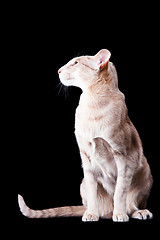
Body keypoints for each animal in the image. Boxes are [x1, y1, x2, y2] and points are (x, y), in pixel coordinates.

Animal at [18, 48, 153, 221]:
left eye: (75, 63)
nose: (58, 70)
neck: (91, 103)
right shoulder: (86, 156)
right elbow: (92, 192)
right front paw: (91, 215)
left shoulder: (122, 155)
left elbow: (120, 192)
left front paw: (120, 214)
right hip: (82, 183)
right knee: (97, 206)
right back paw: (96, 212)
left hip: (145, 172)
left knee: (131, 203)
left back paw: (136, 212)